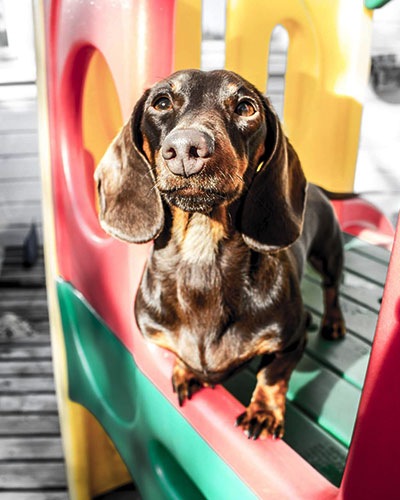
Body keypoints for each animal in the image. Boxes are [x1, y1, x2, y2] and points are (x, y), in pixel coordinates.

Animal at [95, 69, 346, 438]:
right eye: (161, 103)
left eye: (245, 107)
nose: (186, 147)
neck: (201, 256)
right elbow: (182, 356)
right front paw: (185, 371)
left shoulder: (292, 340)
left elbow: (272, 375)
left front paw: (264, 412)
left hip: (328, 254)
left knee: (332, 289)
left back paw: (334, 322)